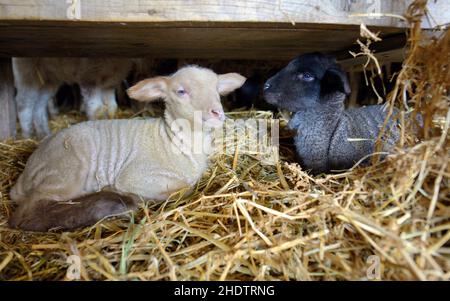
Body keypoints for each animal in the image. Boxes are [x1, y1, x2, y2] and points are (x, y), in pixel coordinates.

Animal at [7, 65, 246, 230]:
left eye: (217, 90)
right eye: (181, 91)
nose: (217, 113)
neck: (171, 141)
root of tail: (24, 176)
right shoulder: (136, 176)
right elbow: (183, 189)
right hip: (67, 171)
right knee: (26, 214)